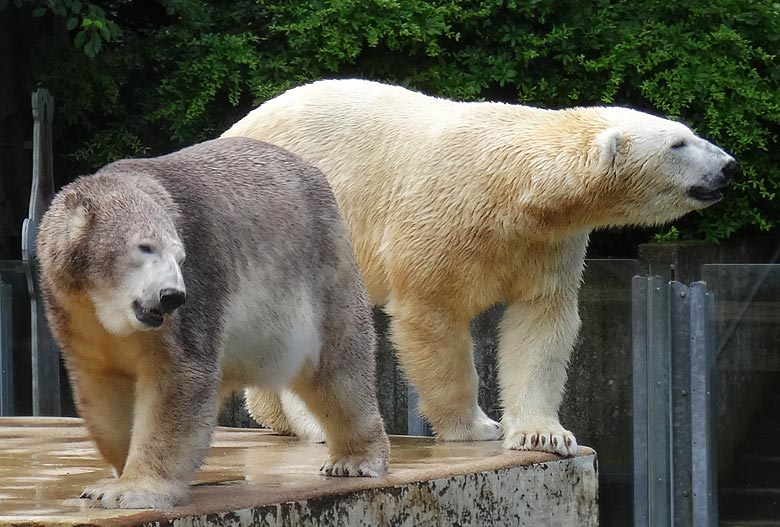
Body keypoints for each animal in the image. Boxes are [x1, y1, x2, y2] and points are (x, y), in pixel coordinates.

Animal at [36, 138, 390, 510]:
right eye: (144, 247)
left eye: (180, 257)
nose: (171, 296)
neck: (105, 307)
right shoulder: (76, 316)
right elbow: (104, 387)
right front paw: (109, 480)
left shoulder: (192, 300)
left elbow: (178, 378)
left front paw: (133, 490)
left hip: (324, 273)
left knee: (339, 371)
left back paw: (355, 460)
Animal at [221, 79, 736, 458]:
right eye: (678, 143)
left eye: (686, 133)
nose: (729, 166)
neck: (517, 188)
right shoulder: (444, 216)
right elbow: (433, 314)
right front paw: (474, 427)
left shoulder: (548, 243)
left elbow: (541, 320)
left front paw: (544, 435)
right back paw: (316, 425)